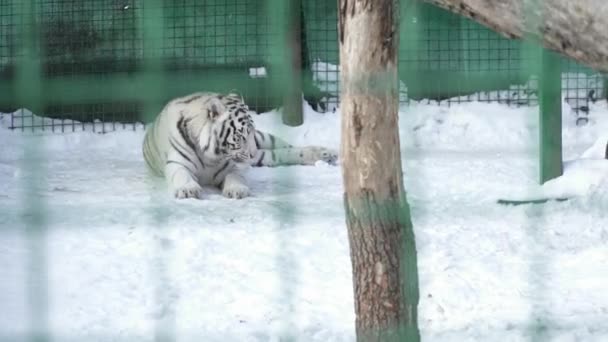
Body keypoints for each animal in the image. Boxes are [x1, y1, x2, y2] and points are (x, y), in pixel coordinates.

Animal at [144, 92, 340, 199]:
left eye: (251, 133)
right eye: (240, 135)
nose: (252, 153)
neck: (210, 157)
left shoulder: (232, 166)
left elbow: (236, 177)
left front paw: (237, 190)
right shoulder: (177, 164)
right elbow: (182, 175)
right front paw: (188, 190)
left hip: (266, 142)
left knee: (289, 147)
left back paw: (328, 154)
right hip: (263, 157)